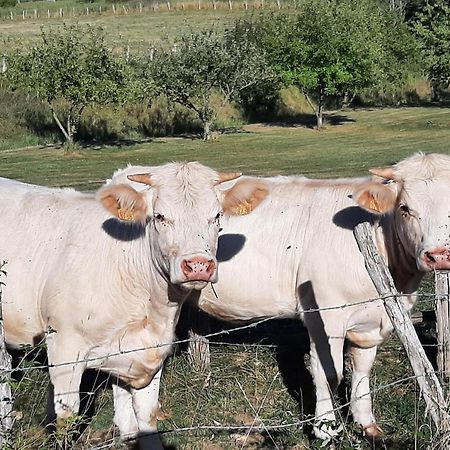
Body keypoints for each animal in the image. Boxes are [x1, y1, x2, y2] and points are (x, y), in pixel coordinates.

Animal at [187, 153, 450, 442]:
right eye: (405, 208)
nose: (439, 255)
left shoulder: (372, 320)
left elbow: (362, 369)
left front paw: (367, 424)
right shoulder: (325, 314)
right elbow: (328, 373)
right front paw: (325, 428)